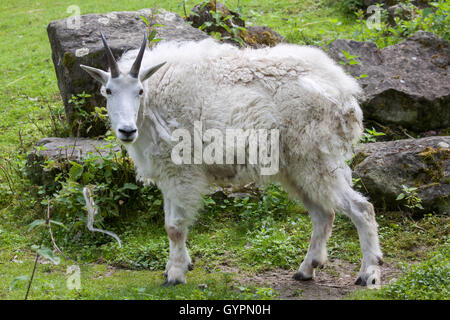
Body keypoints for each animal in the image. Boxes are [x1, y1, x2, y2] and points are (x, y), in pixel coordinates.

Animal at [81, 32, 384, 286]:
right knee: (324, 213)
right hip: (296, 167)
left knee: (362, 208)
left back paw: (368, 273)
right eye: (108, 91)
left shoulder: (181, 172)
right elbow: (169, 224)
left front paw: (176, 275)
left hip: (316, 158)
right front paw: (176, 266)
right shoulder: (168, 174)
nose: (126, 130)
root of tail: (345, 93)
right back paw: (306, 269)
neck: (153, 103)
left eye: (139, 91)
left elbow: (174, 227)